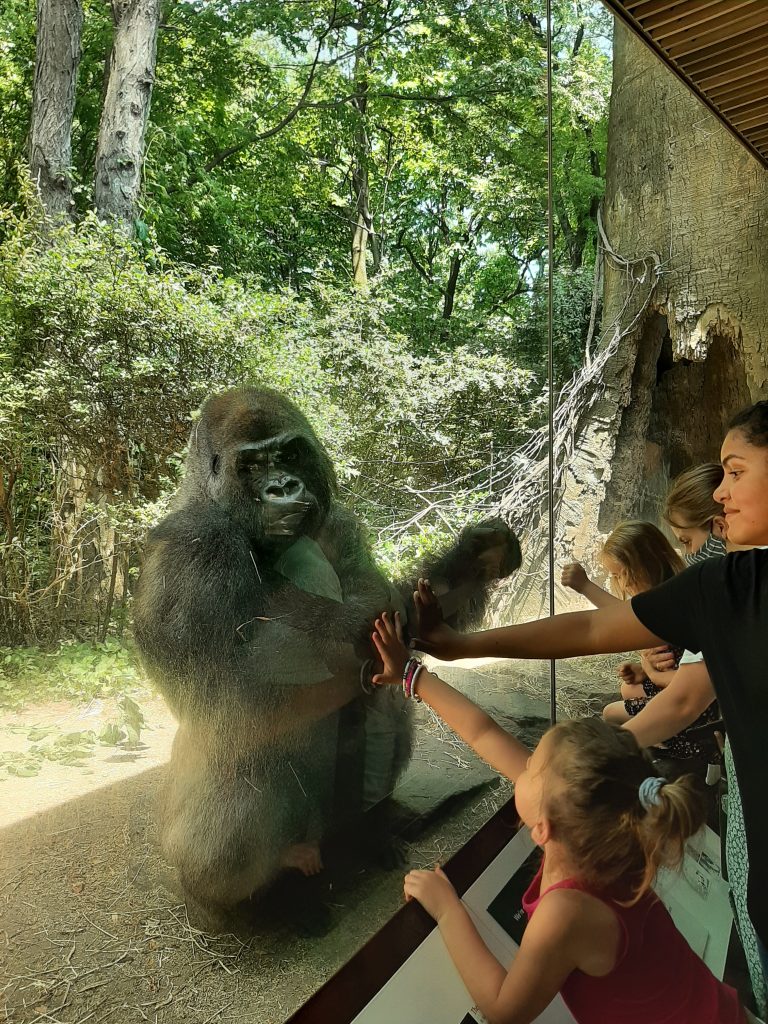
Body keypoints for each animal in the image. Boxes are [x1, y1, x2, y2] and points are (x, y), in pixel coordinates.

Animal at [134, 385, 524, 929]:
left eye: (290, 453)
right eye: (252, 465)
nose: (283, 487)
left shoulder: (337, 520)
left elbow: (396, 612)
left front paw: (473, 561)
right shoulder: (194, 547)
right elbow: (240, 687)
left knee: (384, 708)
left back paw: (371, 830)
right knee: (232, 822)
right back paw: (269, 905)